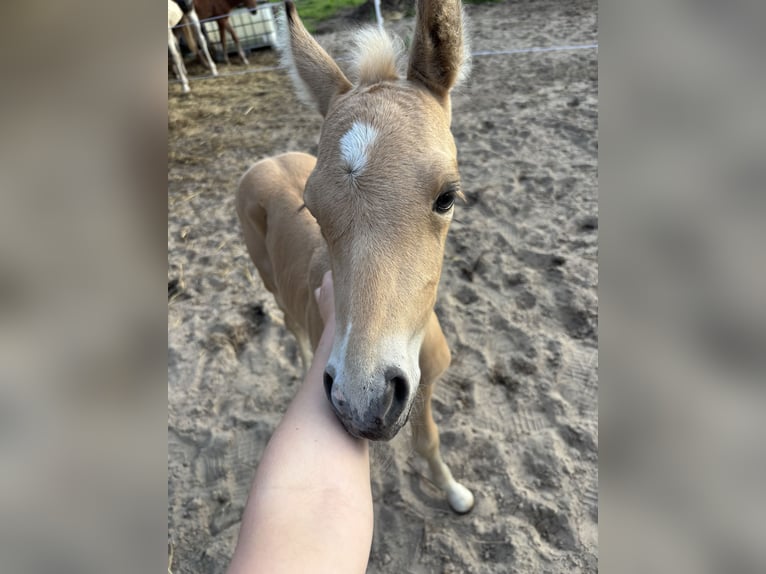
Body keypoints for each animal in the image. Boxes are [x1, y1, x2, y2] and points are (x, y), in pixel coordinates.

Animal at [236, 0, 475, 513]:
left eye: (447, 197)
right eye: (313, 209)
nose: (362, 403)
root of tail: (265, 161)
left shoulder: (423, 388)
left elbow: (427, 440)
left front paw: (455, 492)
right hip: (270, 283)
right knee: (289, 323)